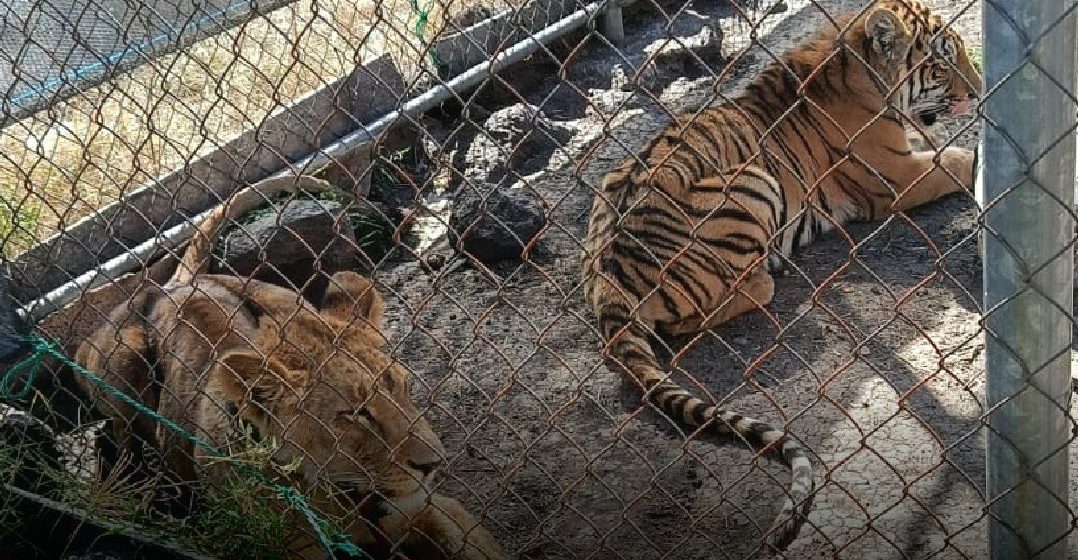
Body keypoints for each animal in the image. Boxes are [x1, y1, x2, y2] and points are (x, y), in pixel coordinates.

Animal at [74, 175, 507, 560]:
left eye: (401, 387)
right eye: (355, 415)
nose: (434, 464)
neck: (344, 497)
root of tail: (174, 284)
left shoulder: (434, 508)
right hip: (116, 361)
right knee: (122, 434)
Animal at [582, 0, 980, 551]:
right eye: (942, 62)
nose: (979, 89)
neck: (858, 71)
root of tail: (606, 276)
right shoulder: (897, 178)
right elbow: (959, 160)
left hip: (611, 182)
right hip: (755, 183)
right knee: (711, 307)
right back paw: (771, 270)